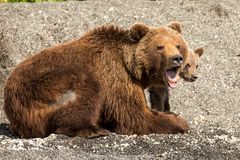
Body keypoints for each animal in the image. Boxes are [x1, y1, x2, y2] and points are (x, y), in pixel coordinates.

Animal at [3, 21, 190, 139]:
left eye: (178, 45)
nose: (177, 58)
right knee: (87, 91)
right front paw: (180, 122)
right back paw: (94, 130)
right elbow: (134, 116)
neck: (130, 66)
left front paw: (171, 114)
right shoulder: (116, 76)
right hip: (44, 88)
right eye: (160, 47)